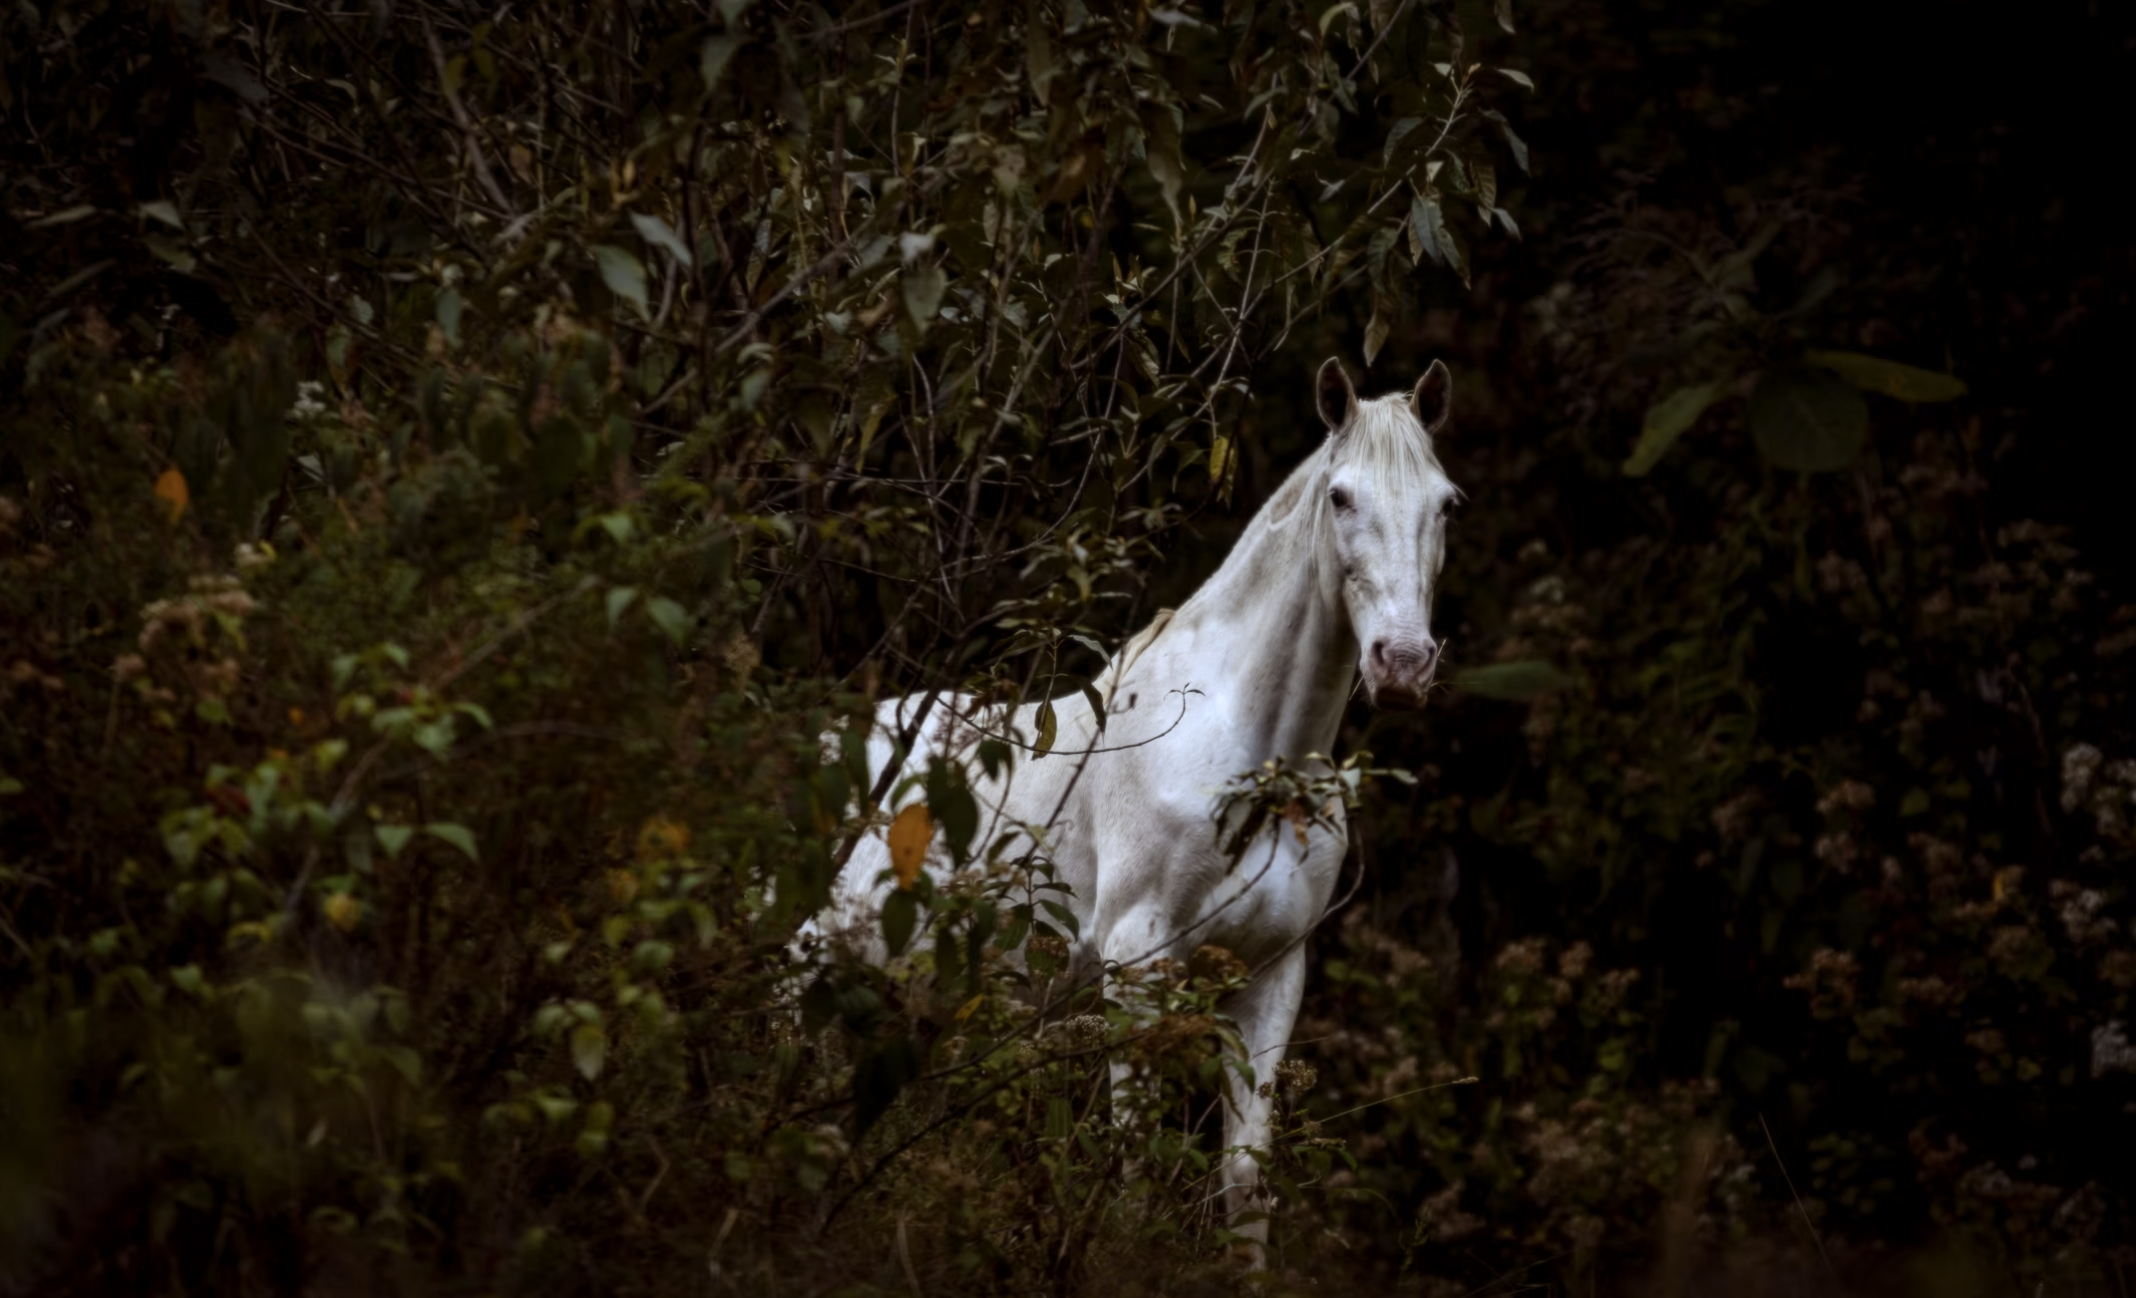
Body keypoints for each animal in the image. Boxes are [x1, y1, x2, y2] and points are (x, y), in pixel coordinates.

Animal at [810, 355, 1458, 1263]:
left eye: (1446, 502)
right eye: (1340, 496)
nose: (1401, 663)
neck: (1251, 762)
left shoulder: (1270, 977)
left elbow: (1245, 1183)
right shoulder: (1138, 968)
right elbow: (1132, 1178)